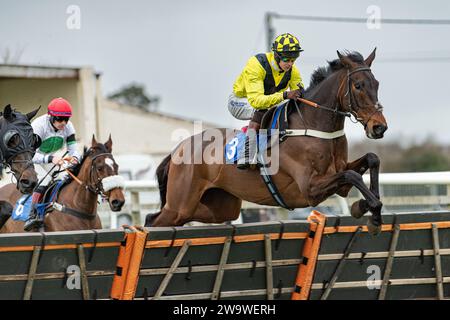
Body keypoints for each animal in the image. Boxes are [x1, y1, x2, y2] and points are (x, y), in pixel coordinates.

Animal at [146, 50, 388, 235]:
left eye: (376, 84)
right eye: (358, 85)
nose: (379, 127)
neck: (313, 125)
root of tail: (177, 150)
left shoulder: (339, 182)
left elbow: (371, 160)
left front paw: (365, 207)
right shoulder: (310, 188)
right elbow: (353, 175)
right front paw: (372, 212)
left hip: (219, 206)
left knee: (158, 216)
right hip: (180, 204)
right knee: (156, 220)